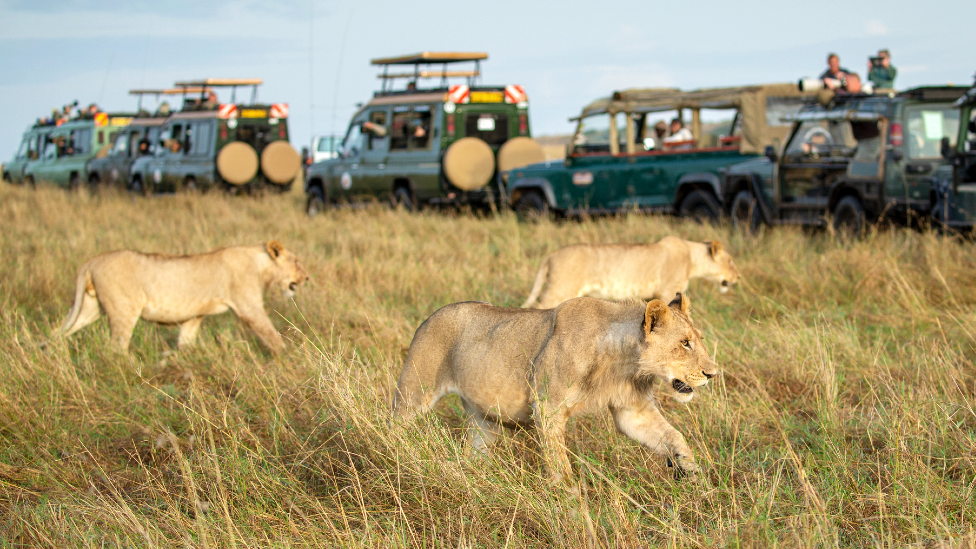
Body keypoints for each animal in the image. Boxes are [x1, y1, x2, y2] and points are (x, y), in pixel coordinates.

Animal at [61, 240, 304, 352]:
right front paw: (288, 356)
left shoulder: (194, 316)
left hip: (89, 308)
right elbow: (270, 334)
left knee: (60, 331)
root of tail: (92, 261)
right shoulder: (249, 307)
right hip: (124, 311)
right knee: (117, 349)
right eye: (297, 262)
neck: (260, 263)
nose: (307, 278)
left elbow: (186, 341)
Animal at [392, 294, 720, 482]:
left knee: (473, 451)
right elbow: (560, 467)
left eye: (699, 340)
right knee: (396, 424)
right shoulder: (547, 408)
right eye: (684, 343)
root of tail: (430, 315)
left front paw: (691, 471)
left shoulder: (632, 411)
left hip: (482, 420)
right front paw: (571, 506)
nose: (712, 374)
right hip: (413, 392)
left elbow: (673, 436)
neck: (622, 361)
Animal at [524, 235, 736, 308]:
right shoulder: (668, 290)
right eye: (731, 262)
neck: (692, 258)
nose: (738, 277)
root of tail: (551, 254)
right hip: (558, 290)